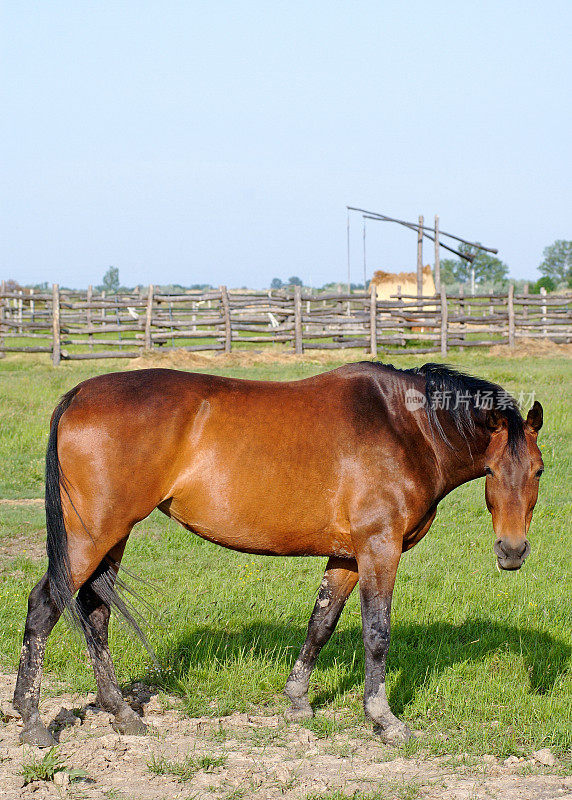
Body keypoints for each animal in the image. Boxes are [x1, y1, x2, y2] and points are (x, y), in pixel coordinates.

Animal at [11, 360, 544, 748]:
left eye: (539, 469)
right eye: (493, 471)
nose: (513, 550)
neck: (402, 427)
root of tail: (79, 394)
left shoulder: (347, 557)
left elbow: (321, 624)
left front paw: (297, 701)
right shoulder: (379, 549)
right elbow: (377, 634)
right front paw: (384, 720)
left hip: (112, 537)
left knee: (95, 614)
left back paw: (121, 712)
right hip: (90, 536)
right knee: (44, 608)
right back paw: (34, 721)